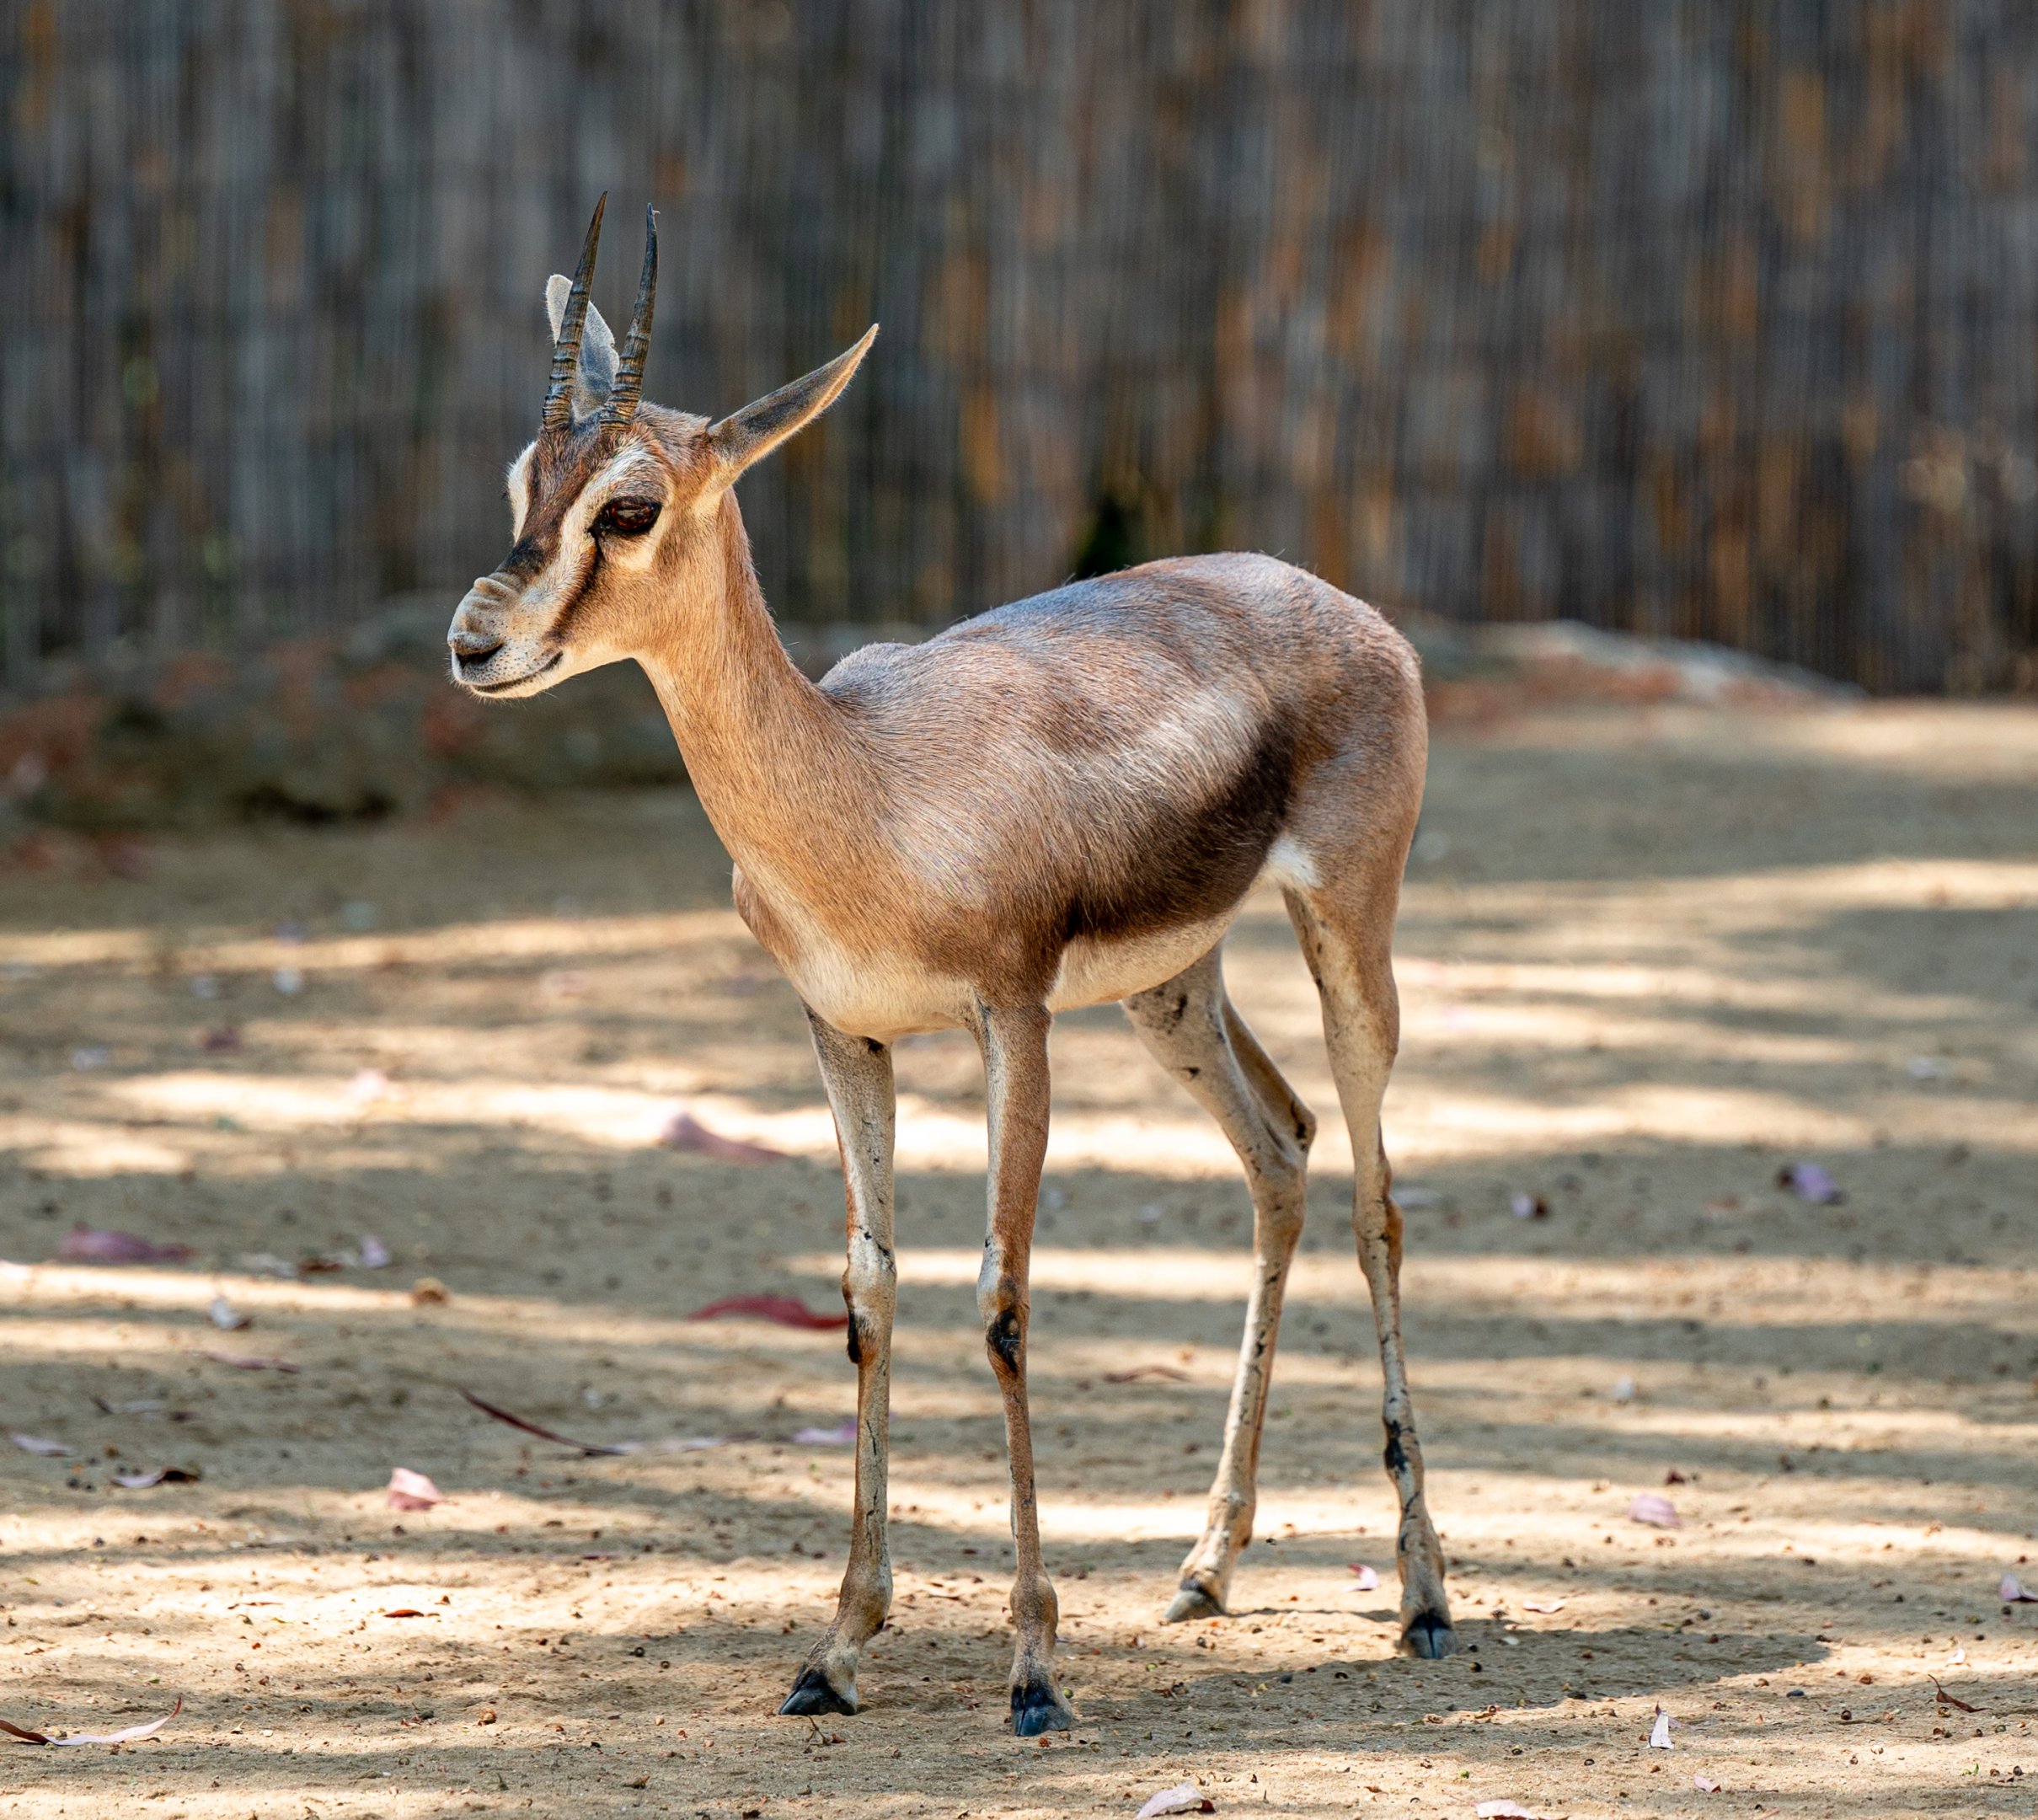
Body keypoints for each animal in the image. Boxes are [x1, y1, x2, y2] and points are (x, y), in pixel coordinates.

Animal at [446, 198, 1456, 1736]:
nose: (475, 642)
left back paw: (1421, 1599)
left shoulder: (1010, 1017)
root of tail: (1332, 601)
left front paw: (1032, 1669)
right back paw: (1204, 1569)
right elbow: (867, 1294)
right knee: (1279, 1153)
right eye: (523, 475)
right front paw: (834, 1649)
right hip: (1172, 989)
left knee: (1375, 1204)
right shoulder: (841, 1033)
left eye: (626, 507)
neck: (862, 787)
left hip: (1346, 931)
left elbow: (1001, 1297)